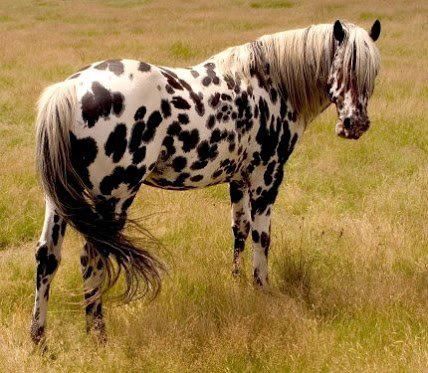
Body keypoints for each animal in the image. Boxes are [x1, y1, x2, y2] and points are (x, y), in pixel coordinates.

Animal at [32, 18, 382, 342]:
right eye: (342, 66)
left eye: (373, 72)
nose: (355, 125)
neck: (272, 84)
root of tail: (70, 89)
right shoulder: (266, 178)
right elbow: (262, 239)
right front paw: (262, 291)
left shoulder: (238, 181)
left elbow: (240, 231)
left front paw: (237, 283)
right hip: (113, 197)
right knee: (92, 258)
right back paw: (98, 335)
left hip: (61, 202)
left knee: (48, 258)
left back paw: (40, 341)